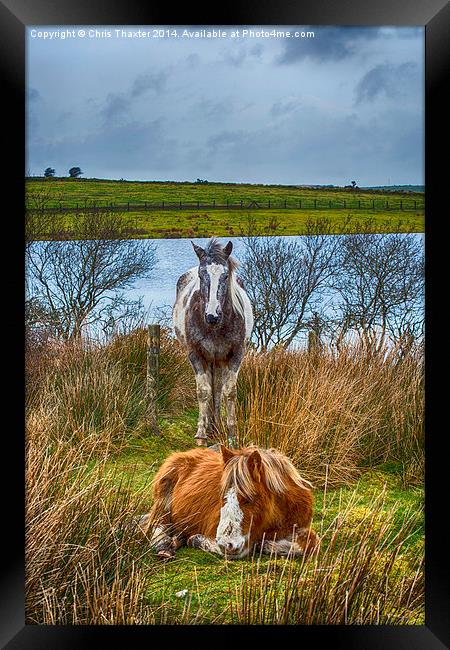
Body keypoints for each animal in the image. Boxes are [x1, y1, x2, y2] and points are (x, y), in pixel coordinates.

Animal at [141, 442, 320, 560]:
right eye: (221, 496)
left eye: (249, 498)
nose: (227, 544)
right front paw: (197, 540)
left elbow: (312, 543)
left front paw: (269, 545)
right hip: (163, 508)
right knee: (157, 528)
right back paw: (165, 547)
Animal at [173, 238, 253, 446]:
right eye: (202, 275)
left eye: (225, 276)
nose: (212, 316)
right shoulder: (196, 355)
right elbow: (203, 391)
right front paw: (201, 435)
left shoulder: (235, 355)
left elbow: (229, 392)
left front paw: (232, 435)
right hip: (211, 358)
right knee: (211, 389)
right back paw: (210, 427)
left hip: (219, 360)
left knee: (217, 390)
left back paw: (216, 427)